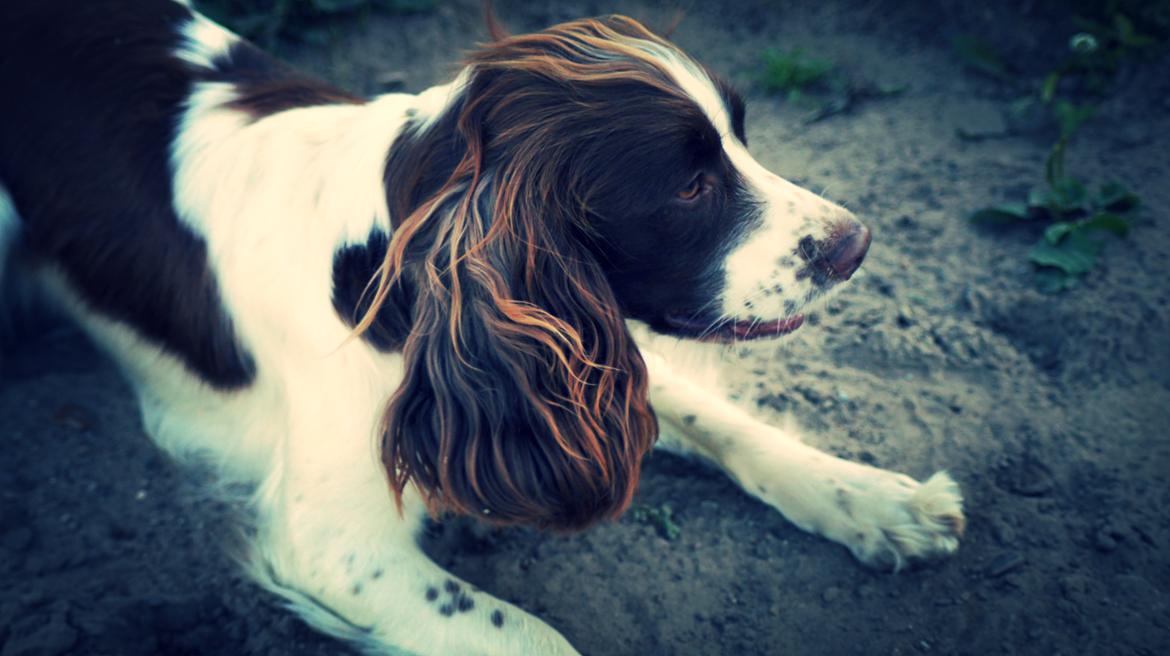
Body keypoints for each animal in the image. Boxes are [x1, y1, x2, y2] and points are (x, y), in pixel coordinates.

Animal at [0, 1, 964, 650]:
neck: (387, 272)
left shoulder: (578, 349)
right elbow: (534, 637)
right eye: (690, 186)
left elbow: (725, 424)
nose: (855, 244)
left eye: (741, 141)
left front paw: (878, 501)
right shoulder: (333, 546)